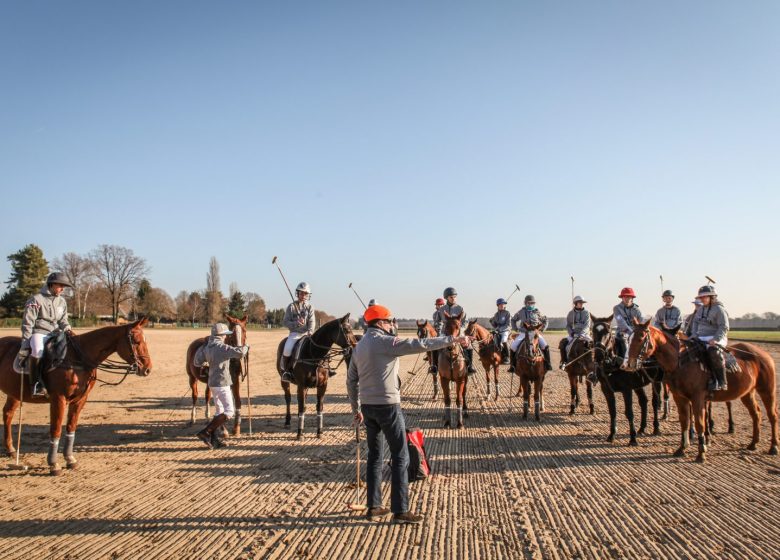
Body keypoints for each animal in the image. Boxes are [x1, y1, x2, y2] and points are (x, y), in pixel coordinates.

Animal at [0, 320, 152, 472]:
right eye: (136, 341)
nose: (147, 369)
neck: (79, 359)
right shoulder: (58, 398)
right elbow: (56, 429)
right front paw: (53, 464)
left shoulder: (80, 399)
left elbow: (71, 427)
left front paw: (70, 459)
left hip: (14, 392)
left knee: (8, 413)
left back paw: (11, 449)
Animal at [278, 312, 356, 440]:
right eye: (346, 330)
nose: (354, 348)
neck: (314, 355)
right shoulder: (302, 385)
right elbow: (301, 406)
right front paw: (299, 433)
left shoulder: (322, 385)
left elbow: (319, 407)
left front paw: (319, 431)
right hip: (284, 381)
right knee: (288, 398)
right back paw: (288, 421)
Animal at [588, 316, 660, 446]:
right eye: (593, 330)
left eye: (608, 331)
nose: (599, 354)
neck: (612, 363)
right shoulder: (607, 390)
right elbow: (612, 411)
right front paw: (612, 435)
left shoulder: (627, 390)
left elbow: (629, 413)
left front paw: (632, 438)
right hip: (638, 385)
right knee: (643, 401)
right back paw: (642, 428)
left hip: (656, 381)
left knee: (655, 402)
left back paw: (656, 428)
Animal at [624, 322, 776, 462]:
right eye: (629, 338)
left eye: (641, 337)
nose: (629, 364)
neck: (681, 362)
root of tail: (762, 354)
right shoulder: (680, 397)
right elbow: (684, 421)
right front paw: (682, 447)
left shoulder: (698, 398)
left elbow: (699, 423)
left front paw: (702, 451)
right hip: (747, 393)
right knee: (756, 413)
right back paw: (753, 443)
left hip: (767, 390)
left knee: (772, 415)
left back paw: (773, 447)